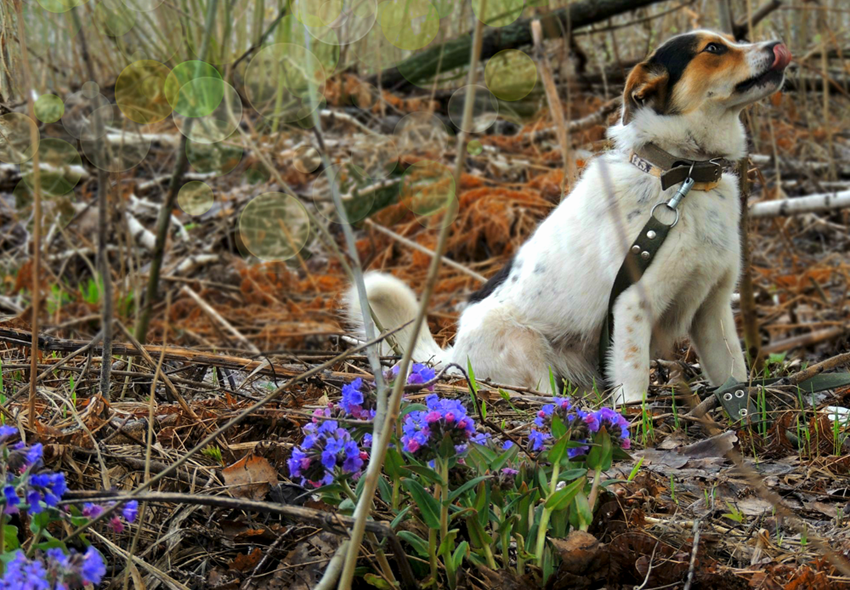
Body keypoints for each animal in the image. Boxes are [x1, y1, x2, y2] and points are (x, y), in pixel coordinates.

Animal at [342, 31, 788, 408]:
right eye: (713, 49)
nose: (777, 44)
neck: (684, 178)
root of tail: (454, 352)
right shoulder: (631, 304)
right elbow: (633, 383)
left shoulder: (713, 310)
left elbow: (736, 377)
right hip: (526, 349)